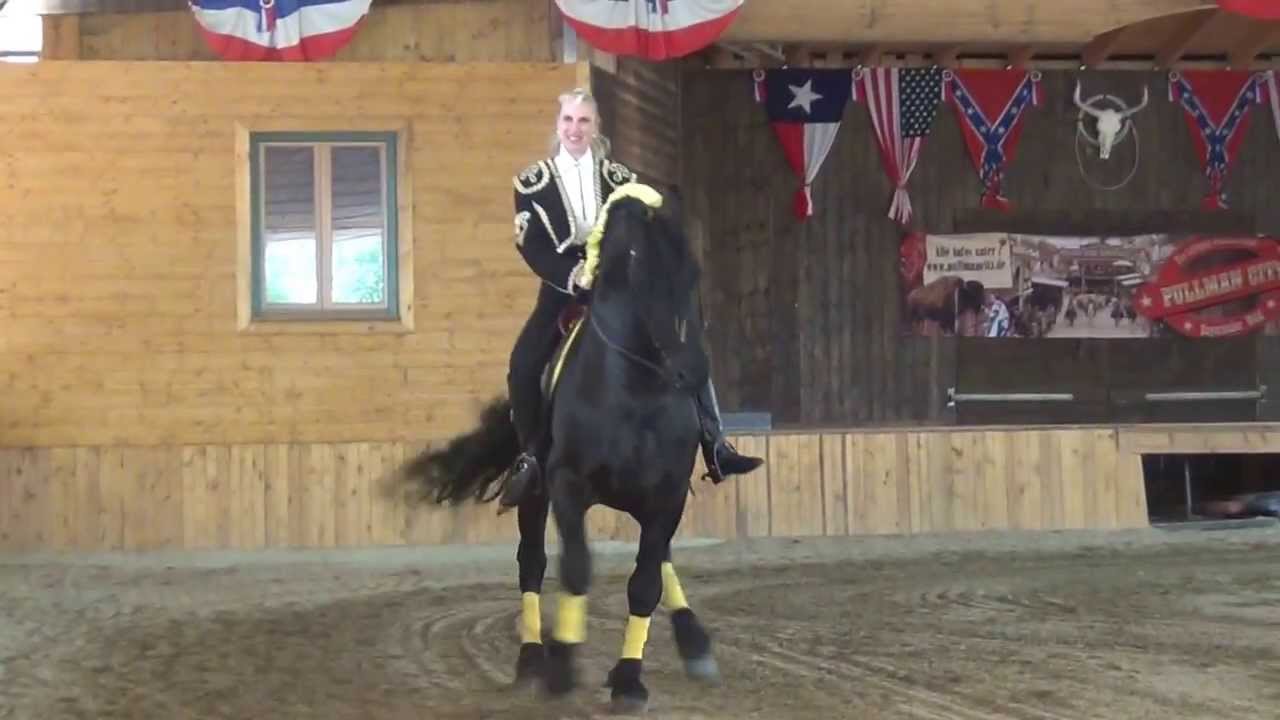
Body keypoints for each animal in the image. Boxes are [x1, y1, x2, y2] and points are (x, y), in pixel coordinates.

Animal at [400, 183, 722, 714]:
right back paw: (533, 658)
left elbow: (646, 581)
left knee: (661, 562)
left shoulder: (668, 496)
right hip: (533, 493)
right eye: (640, 269)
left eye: (693, 272)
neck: (635, 392)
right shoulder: (567, 486)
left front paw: (628, 679)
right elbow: (575, 568)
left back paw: (694, 644)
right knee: (531, 563)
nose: (692, 371)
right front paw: (563, 664)